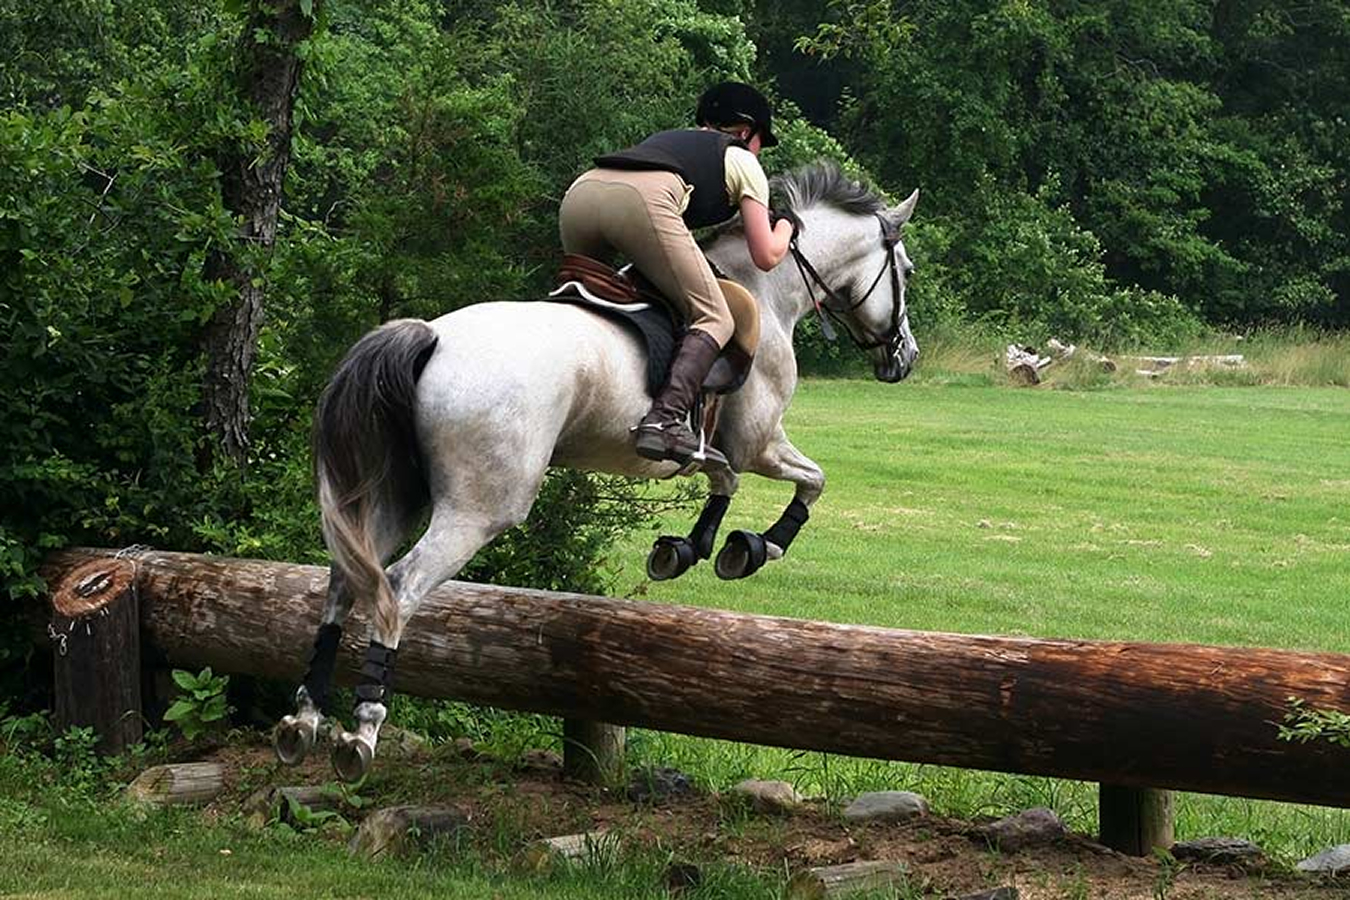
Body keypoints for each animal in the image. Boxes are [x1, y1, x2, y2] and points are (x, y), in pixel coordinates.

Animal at [274, 162, 920, 781]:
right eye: (907, 271)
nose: (905, 359)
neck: (768, 289)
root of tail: (431, 336)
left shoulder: (718, 449)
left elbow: (727, 482)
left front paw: (690, 549)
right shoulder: (758, 440)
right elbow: (810, 480)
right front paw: (756, 547)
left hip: (396, 494)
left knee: (347, 578)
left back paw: (304, 717)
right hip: (479, 508)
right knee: (399, 586)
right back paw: (363, 725)